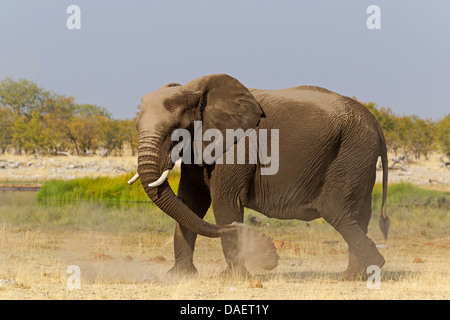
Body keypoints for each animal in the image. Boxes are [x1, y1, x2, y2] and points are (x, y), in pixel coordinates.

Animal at [128, 73, 388, 280]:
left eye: (175, 133)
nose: (271, 254)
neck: (194, 90)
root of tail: (376, 123)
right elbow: (190, 204)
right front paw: (180, 276)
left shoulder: (236, 145)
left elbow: (225, 203)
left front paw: (232, 277)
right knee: (358, 214)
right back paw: (356, 275)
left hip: (353, 150)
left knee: (335, 208)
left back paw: (364, 270)